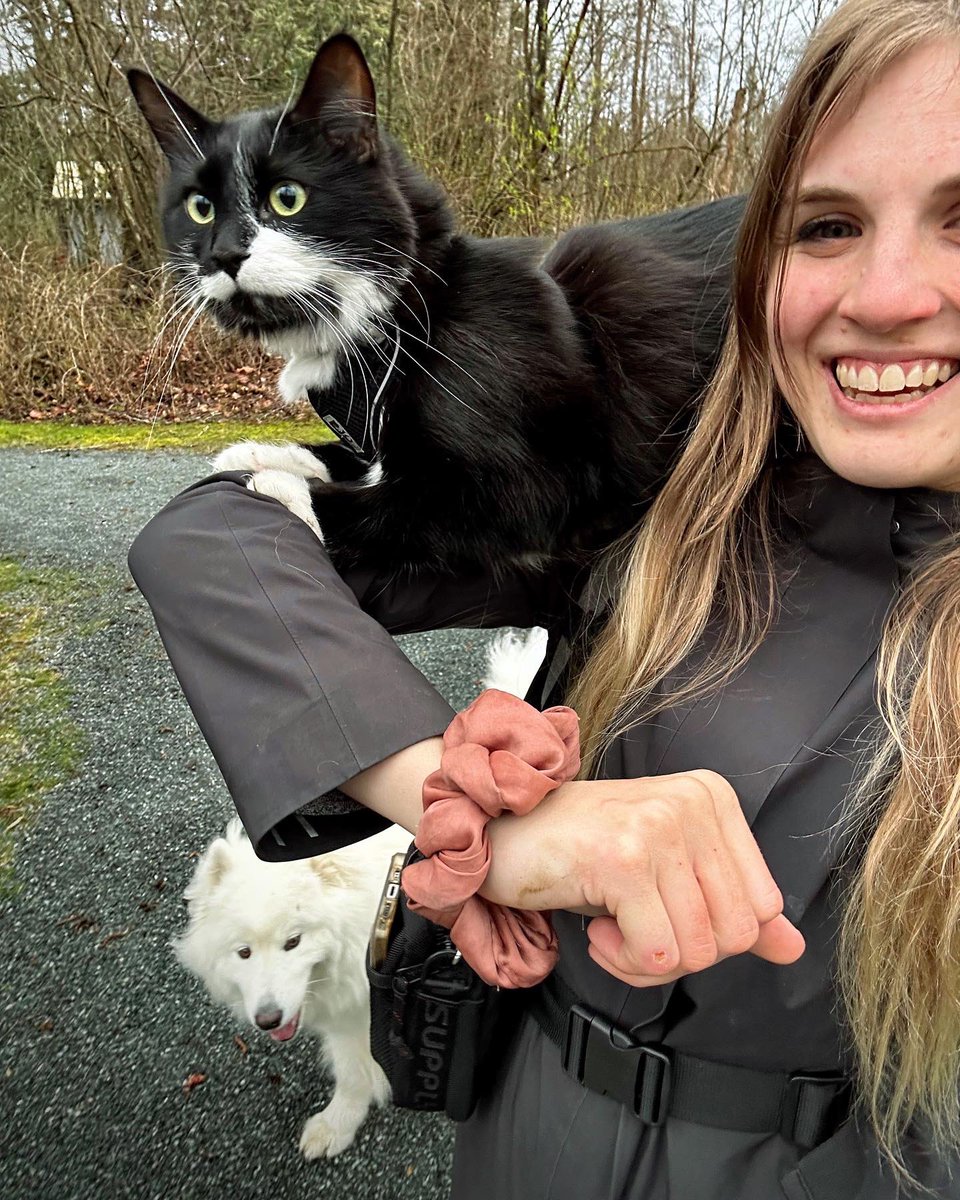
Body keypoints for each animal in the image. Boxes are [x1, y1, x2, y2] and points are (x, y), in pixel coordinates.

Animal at [127, 32, 744, 566]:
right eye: (199, 207)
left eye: (287, 197)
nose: (224, 253)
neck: (411, 314)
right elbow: (357, 459)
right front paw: (265, 452)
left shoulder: (533, 487)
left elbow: (386, 504)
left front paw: (275, 482)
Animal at [174, 820, 408, 1156]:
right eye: (244, 952)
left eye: (294, 941)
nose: (268, 1019)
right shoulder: (352, 1014)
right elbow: (352, 1070)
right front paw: (338, 1124)